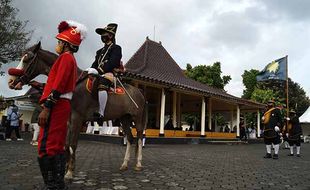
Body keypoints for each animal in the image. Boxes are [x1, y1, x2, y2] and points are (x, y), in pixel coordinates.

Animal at [7, 42, 147, 180]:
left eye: (26, 59)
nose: (11, 81)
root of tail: (140, 92)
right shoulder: (68, 120)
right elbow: (66, 144)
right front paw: (65, 169)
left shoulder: (77, 118)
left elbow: (72, 144)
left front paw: (69, 172)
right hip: (125, 118)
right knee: (130, 138)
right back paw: (124, 164)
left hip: (137, 118)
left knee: (140, 137)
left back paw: (139, 164)